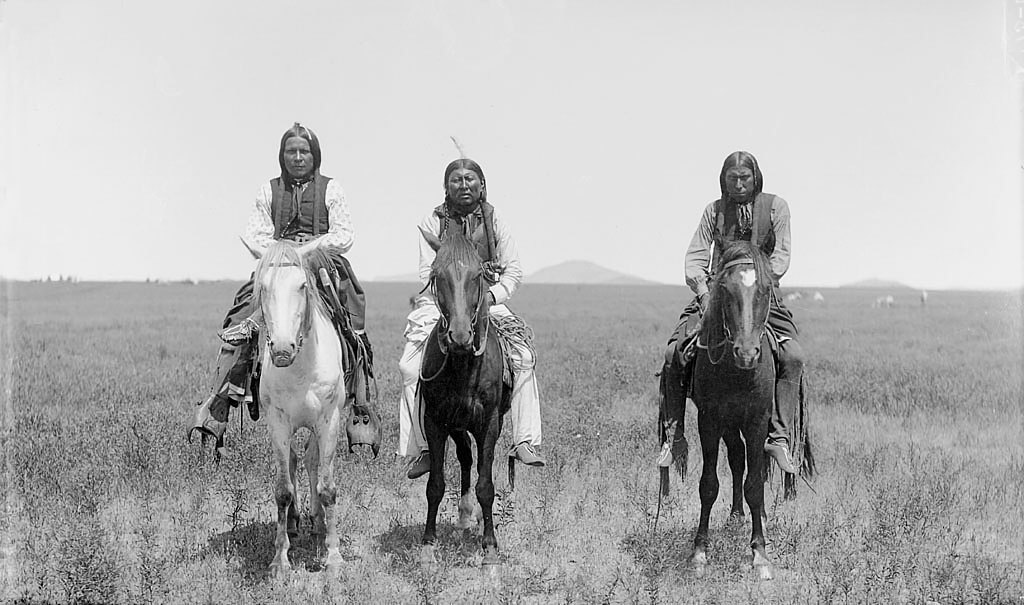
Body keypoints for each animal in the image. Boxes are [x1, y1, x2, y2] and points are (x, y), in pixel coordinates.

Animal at [247, 241, 348, 577]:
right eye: (263, 287)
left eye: (302, 285)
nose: (281, 349)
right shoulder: (277, 422)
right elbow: (282, 489)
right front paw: (280, 559)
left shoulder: (328, 421)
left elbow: (327, 487)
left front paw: (333, 556)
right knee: (293, 462)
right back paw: (293, 523)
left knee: (313, 462)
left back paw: (318, 523)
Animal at [692, 239, 778, 581]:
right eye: (725, 288)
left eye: (766, 289)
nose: (746, 352)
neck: (736, 372)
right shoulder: (709, 420)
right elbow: (708, 484)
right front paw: (699, 552)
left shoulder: (756, 421)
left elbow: (754, 484)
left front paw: (760, 554)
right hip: (729, 425)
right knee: (737, 459)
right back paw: (736, 514)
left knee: (755, 465)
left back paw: (760, 517)